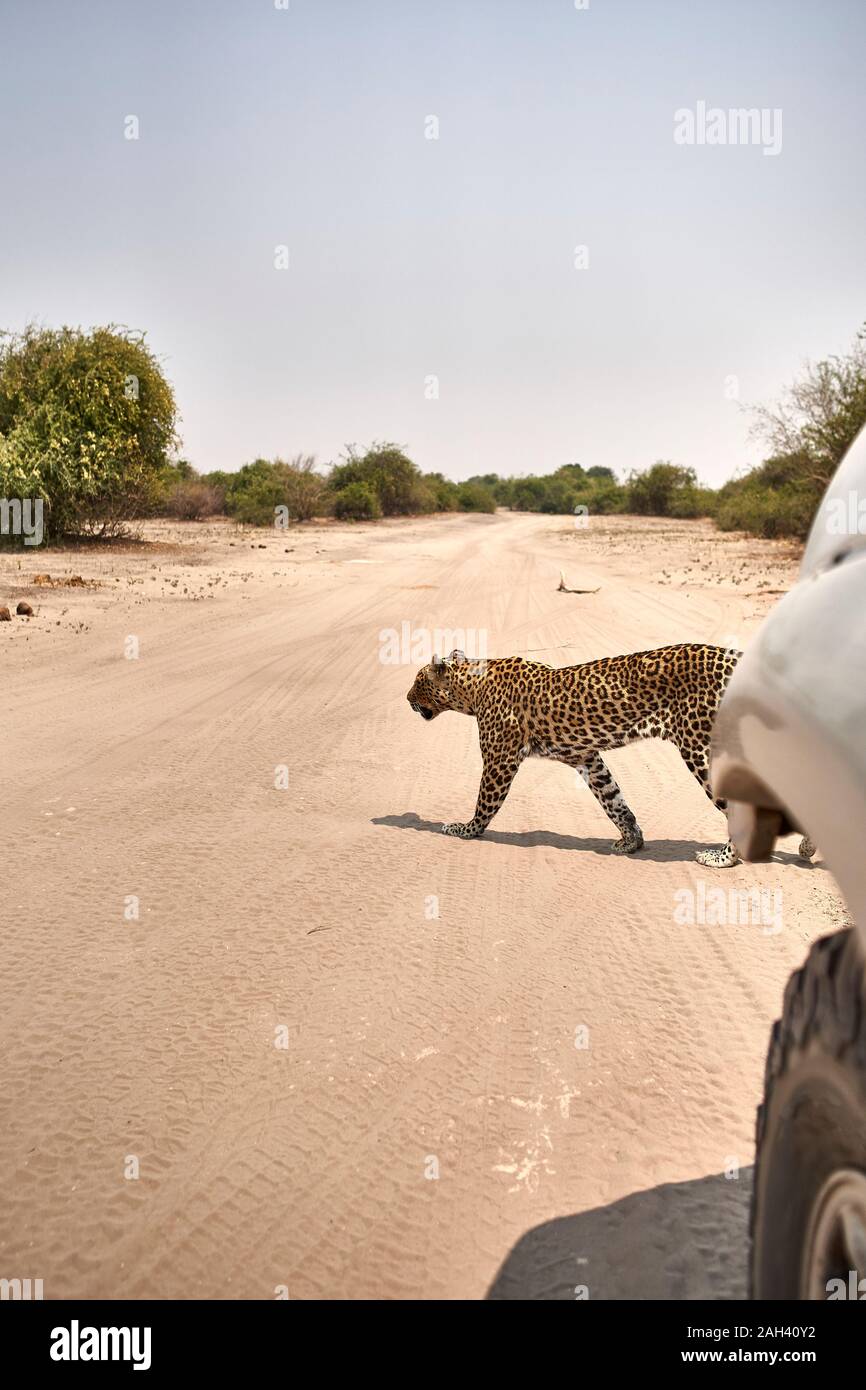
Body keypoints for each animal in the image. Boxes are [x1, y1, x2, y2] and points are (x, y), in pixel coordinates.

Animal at [405, 642, 811, 867]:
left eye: (418, 681)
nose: (406, 698)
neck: (471, 688)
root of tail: (734, 656)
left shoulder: (499, 759)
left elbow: (484, 802)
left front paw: (464, 829)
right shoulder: (586, 757)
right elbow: (614, 800)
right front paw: (632, 841)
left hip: (700, 748)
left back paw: (724, 858)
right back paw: (806, 847)